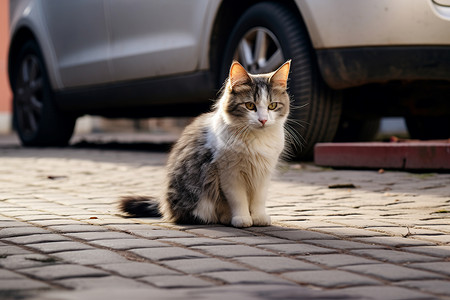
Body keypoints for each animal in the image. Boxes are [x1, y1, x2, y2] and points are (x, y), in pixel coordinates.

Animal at [118, 61, 290, 230]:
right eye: (249, 105)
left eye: (272, 106)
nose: (263, 120)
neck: (256, 139)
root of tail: (164, 206)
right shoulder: (229, 173)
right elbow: (238, 199)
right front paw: (241, 219)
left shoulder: (263, 173)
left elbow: (259, 200)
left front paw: (259, 218)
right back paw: (226, 218)